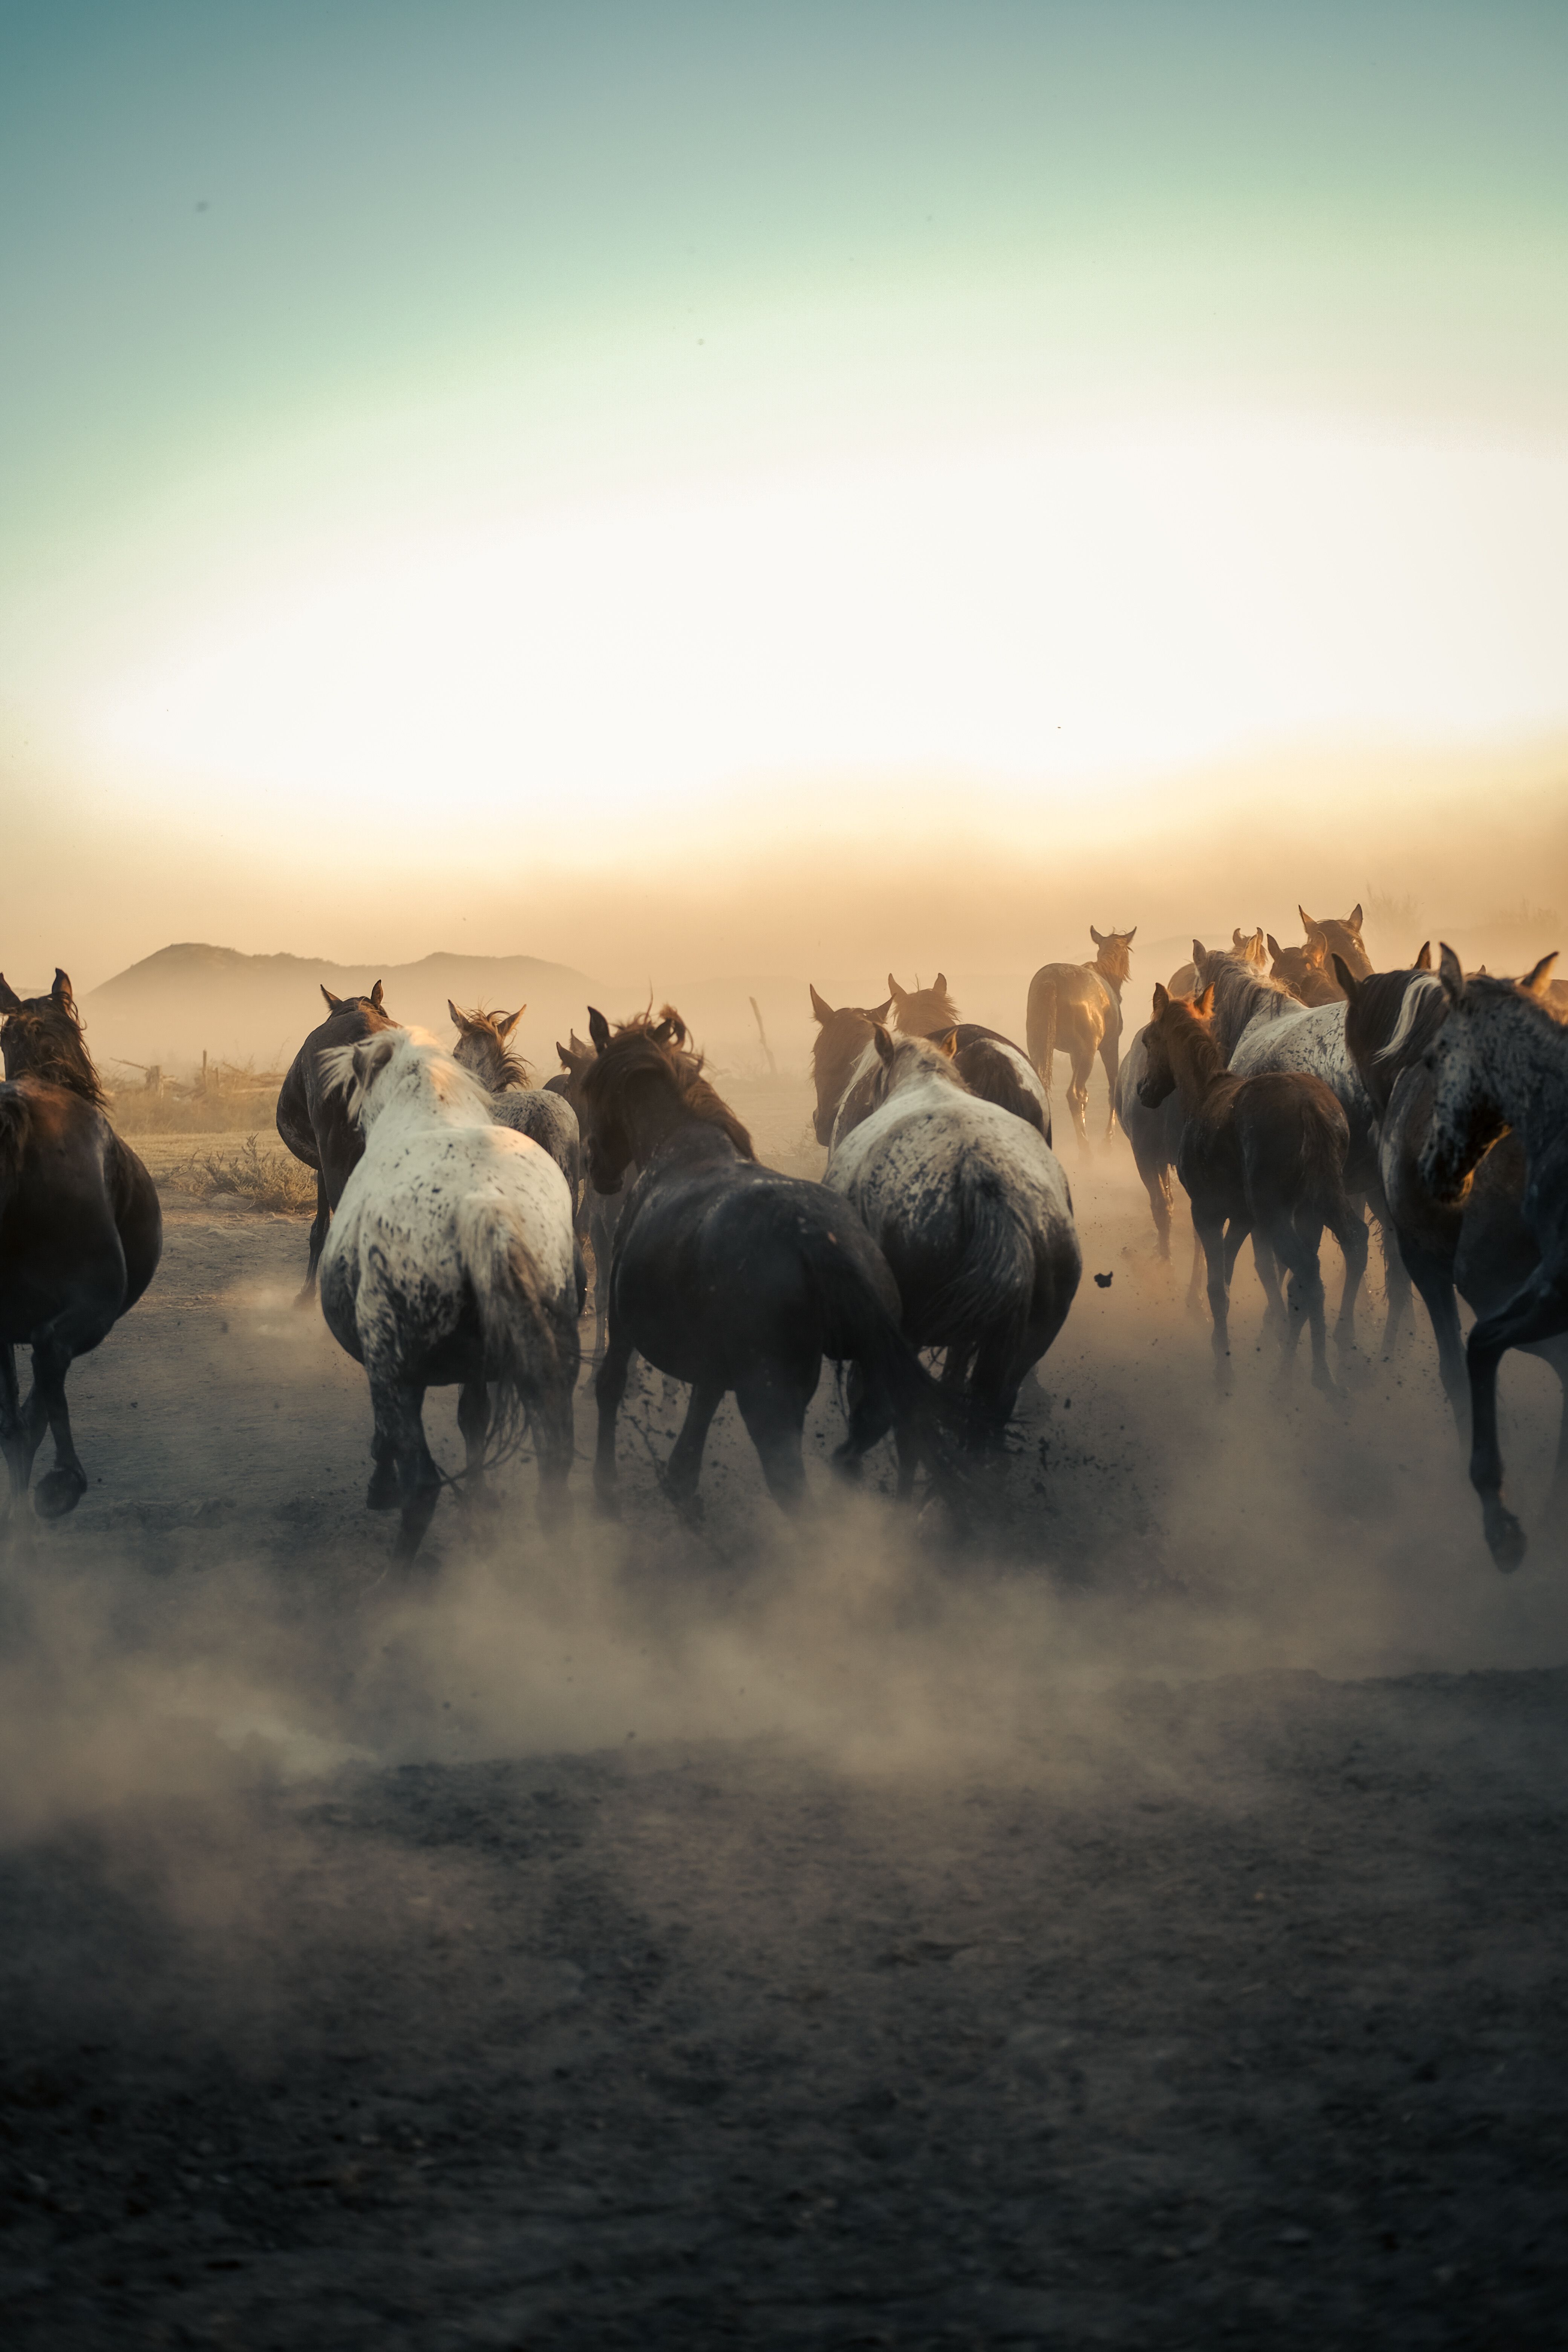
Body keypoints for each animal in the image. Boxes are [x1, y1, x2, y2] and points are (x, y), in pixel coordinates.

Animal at [317, 1027, 579, 1559]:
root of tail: (482, 1205)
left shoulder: (393, 1370)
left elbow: (390, 1441)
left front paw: (381, 1485)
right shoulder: (478, 1372)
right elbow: (473, 1422)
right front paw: (478, 1508)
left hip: (393, 1367)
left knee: (423, 1484)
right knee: (553, 1474)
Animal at [577, 1006, 962, 1518]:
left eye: (592, 1090)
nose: (594, 1167)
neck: (679, 1146)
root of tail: (821, 1245)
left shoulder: (624, 1324)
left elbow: (611, 1386)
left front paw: (605, 1487)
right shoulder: (715, 1362)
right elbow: (695, 1427)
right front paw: (682, 1489)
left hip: (769, 1396)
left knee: (791, 1485)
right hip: (851, 1377)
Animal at [824, 1027, 1080, 1464]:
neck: (927, 1080)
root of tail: (985, 1184)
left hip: (909, 1332)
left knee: (903, 1414)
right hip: (1025, 1341)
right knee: (987, 1407)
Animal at [1025, 927, 1136, 1149]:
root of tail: (1053, 982)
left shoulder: (1073, 1054)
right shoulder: (1109, 1046)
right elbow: (1112, 1088)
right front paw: (1107, 1139)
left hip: (1040, 1049)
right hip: (1088, 1053)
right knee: (1074, 1095)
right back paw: (1086, 1150)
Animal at [1138, 983, 1365, 1394]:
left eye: (1149, 1039)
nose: (1142, 1090)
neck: (1206, 1093)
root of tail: (1310, 1108)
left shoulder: (1207, 1212)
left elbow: (1217, 1287)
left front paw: (1223, 1373)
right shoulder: (1243, 1219)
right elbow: (1226, 1277)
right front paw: (1221, 1346)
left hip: (1276, 1213)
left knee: (1305, 1271)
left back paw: (1302, 1378)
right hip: (1317, 1205)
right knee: (1346, 1249)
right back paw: (1327, 1361)